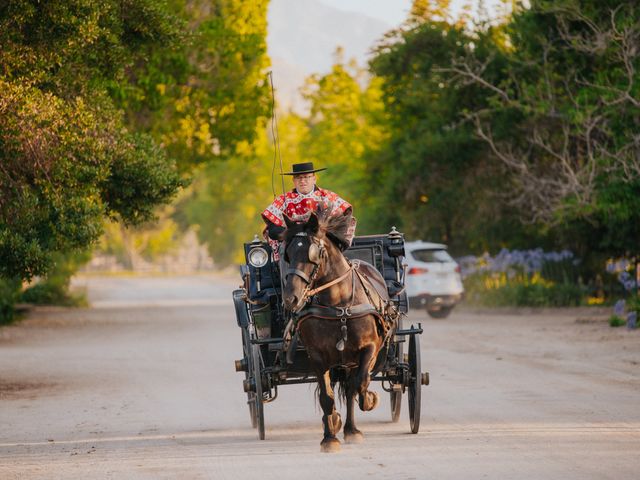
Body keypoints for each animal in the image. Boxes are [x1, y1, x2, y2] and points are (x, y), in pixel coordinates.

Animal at [282, 211, 392, 454]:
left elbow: (360, 383)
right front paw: (329, 437)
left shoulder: (369, 348)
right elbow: (327, 397)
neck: (339, 304)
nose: (291, 298)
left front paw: (369, 399)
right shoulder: (317, 357)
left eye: (314, 254)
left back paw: (352, 429)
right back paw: (336, 423)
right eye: (288, 254)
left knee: (352, 387)